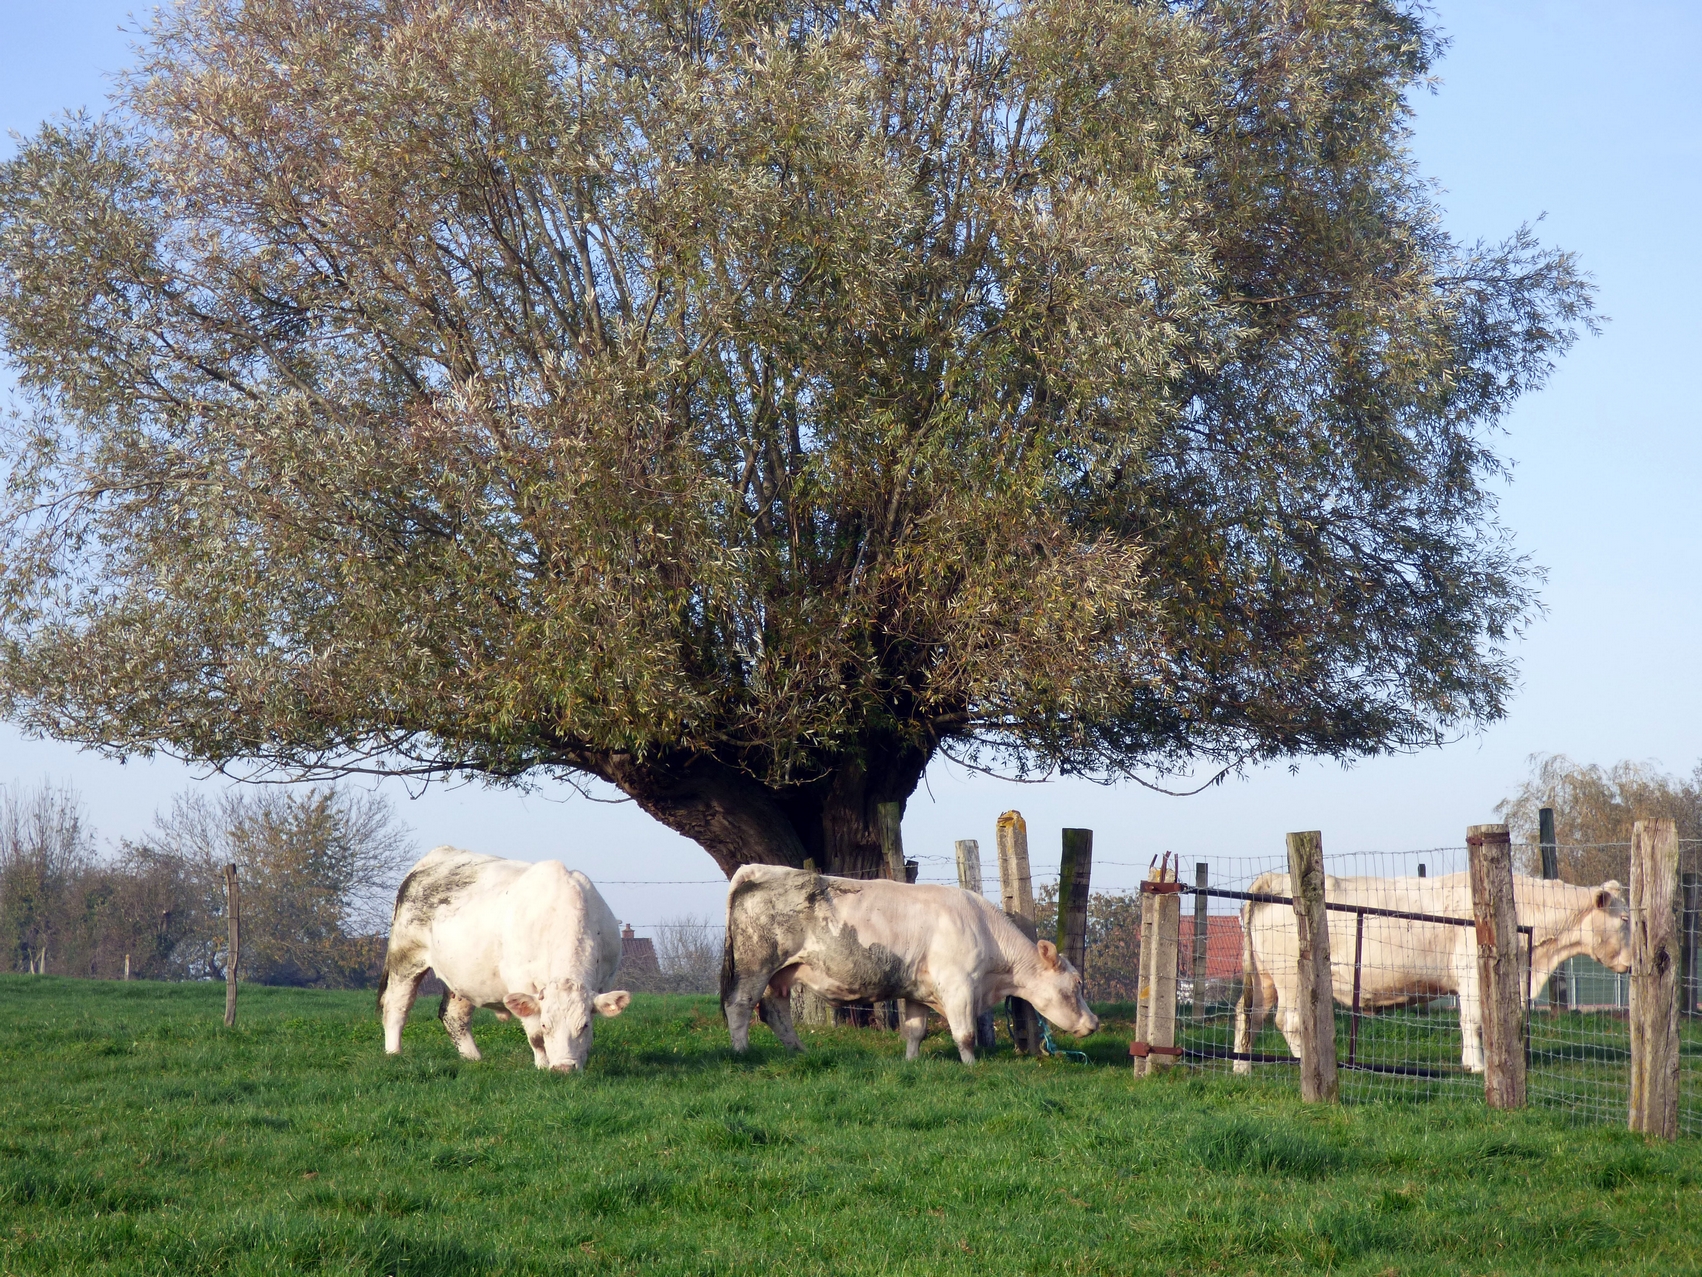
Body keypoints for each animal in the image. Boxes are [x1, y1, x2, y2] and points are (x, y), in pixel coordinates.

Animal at [378, 846, 631, 1072]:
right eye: (545, 1024)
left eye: (584, 1025)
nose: (564, 1068)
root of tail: (439, 853)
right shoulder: (521, 982)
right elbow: (536, 1037)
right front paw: (542, 1066)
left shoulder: (603, 980)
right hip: (405, 957)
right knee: (396, 1005)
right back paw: (393, 1053)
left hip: (462, 974)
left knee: (453, 1016)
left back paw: (474, 1059)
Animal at [720, 864, 1098, 1063]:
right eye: (1075, 986)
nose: (1094, 1024)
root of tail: (757, 869)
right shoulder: (958, 986)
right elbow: (965, 1034)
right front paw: (972, 1065)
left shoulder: (919, 990)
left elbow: (915, 1030)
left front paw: (911, 1063)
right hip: (757, 964)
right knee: (739, 1005)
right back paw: (741, 1051)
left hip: (781, 974)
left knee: (774, 1011)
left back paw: (800, 1051)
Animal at [1233, 871, 1632, 1074]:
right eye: (1626, 919)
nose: (1632, 962)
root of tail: (1275, 880)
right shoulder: (1471, 974)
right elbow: (1474, 1020)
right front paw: (1477, 1065)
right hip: (1290, 978)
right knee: (1288, 1021)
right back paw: (1306, 1061)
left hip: (1266, 980)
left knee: (1248, 1014)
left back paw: (1243, 1067)